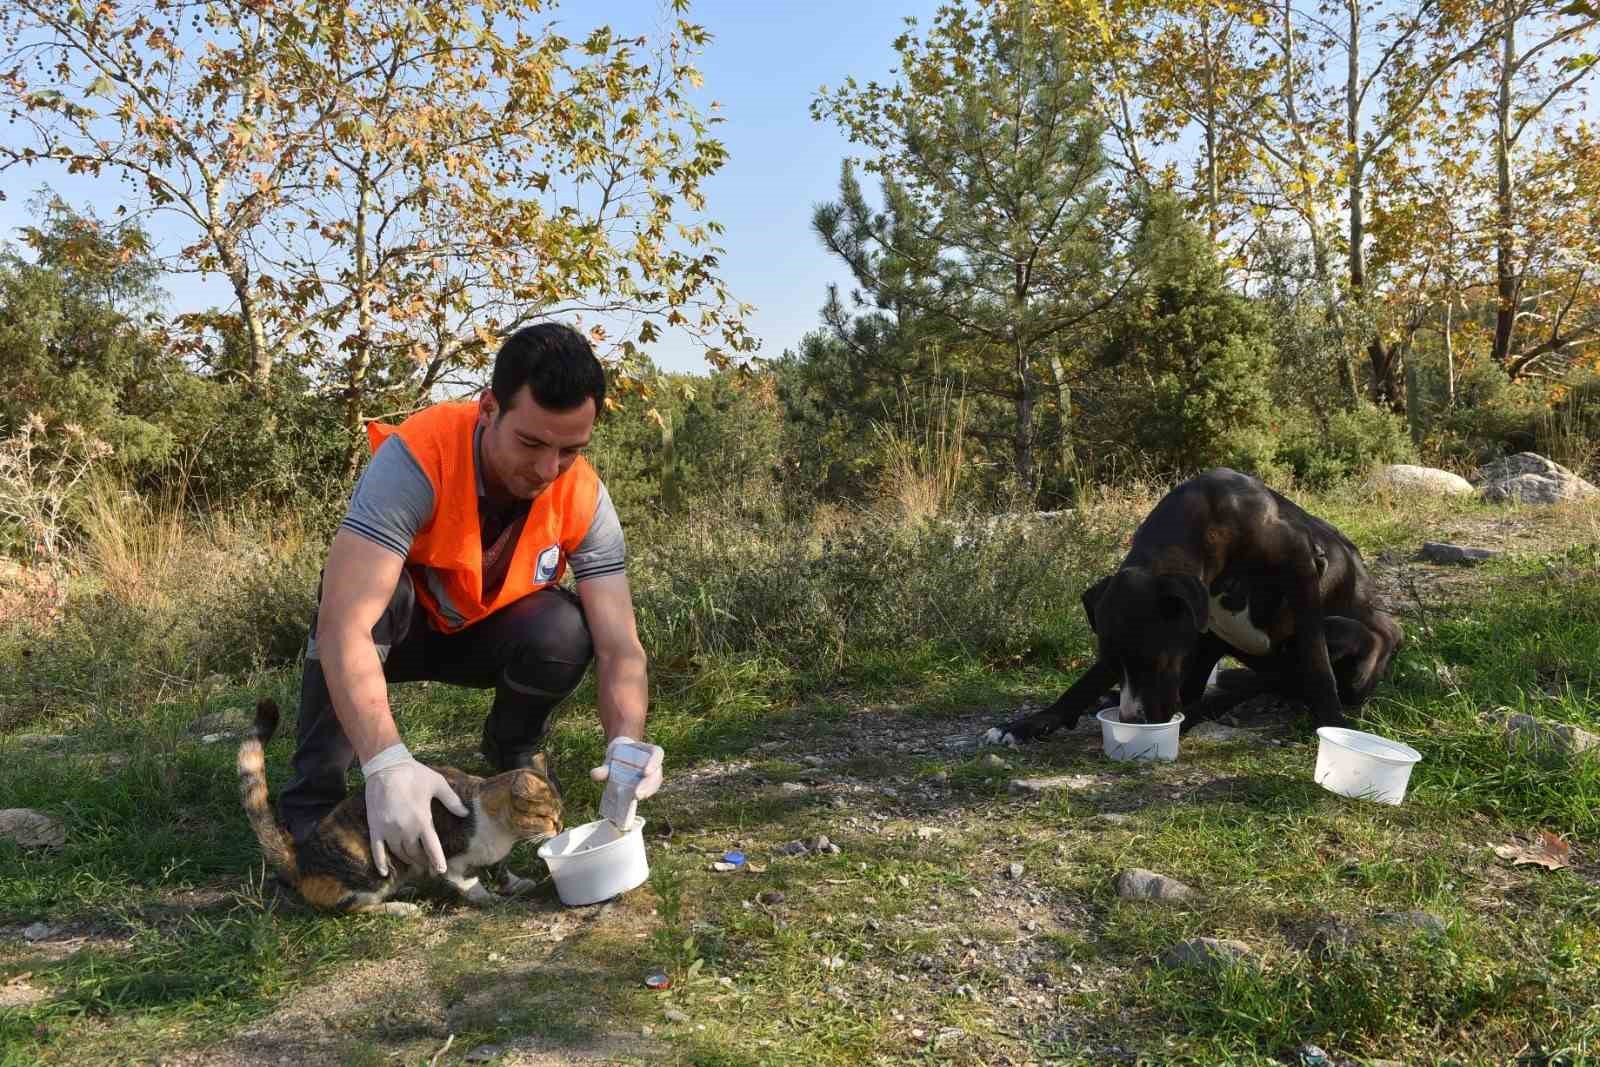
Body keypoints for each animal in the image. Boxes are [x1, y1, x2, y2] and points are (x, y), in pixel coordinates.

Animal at [236, 700, 563, 921]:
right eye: (546, 817)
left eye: (560, 814)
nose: (560, 827)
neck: (499, 831)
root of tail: (299, 856)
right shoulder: (448, 858)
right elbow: (468, 881)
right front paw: (486, 897)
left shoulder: (494, 856)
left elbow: (500, 868)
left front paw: (516, 883)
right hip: (369, 870)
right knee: (351, 907)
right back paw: (401, 907)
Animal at [985, 467, 1401, 742]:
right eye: (1113, 661)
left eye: (1152, 659)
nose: (1132, 720)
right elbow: (1085, 682)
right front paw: (1026, 724)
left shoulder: (1302, 575)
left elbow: (1316, 666)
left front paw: (1333, 722)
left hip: (1342, 633)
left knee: (1280, 676)